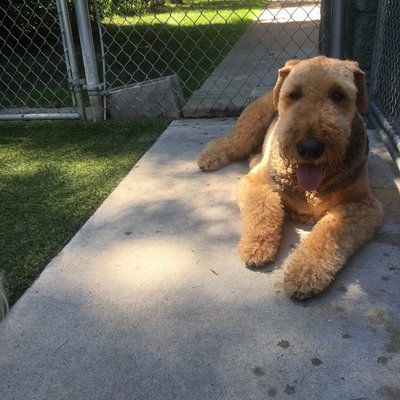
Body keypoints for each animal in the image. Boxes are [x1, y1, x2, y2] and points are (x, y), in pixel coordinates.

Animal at [198, 56, 382, 300]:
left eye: (338, 95)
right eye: (294, 94)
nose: (310, 148)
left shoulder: (362, 205)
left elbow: (328, 234)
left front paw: (305, 273)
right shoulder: (255, 183)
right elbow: (264, 211)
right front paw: (256, 247)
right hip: (251, 126)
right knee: (230, 142)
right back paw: (209, 157)